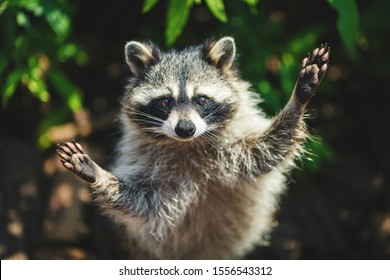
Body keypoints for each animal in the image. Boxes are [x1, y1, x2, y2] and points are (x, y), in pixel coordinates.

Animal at [55, 37, 330, 260]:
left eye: (202, 100)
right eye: (164, 102)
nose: (185, 128)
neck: (187, 145)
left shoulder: (233, 155)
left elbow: (270, 148)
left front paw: (299, 98)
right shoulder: (153, 170)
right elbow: (139, 203)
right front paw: (98, 174)